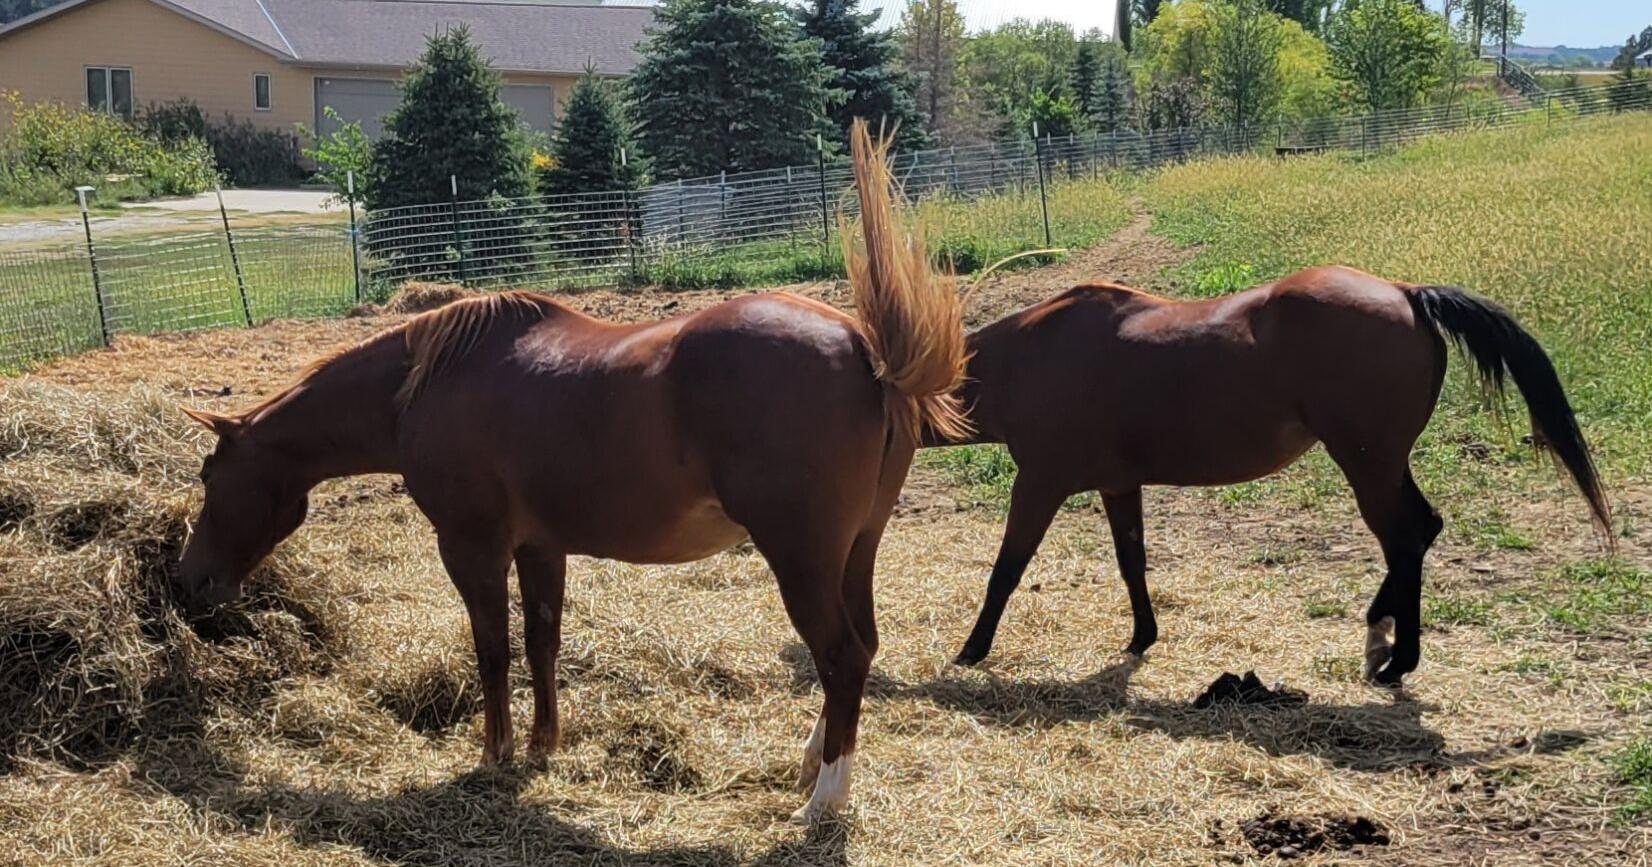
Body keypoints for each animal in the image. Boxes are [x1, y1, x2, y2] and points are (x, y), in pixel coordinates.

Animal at [174, 122, 969, 822]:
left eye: (210, 477)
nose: (189, 582)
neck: (427, 385)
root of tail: (867, 350)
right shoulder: (540, 546)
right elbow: (542, 640)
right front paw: (542, 744)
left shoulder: (472, 547)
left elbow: (492, 649)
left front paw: (494, 753)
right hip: (855, 550)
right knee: (860, 649)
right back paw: (812, 764)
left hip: (801, 557)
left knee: (839, 656)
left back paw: (824, 799)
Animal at [931, 266, 1610, 686]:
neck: (1031, 355)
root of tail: (1404, 291)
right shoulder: (1118, 485)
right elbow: (1133, 564)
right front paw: (1142, 637)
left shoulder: (1039, 482)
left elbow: (1006, 570)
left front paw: (971, 649)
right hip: (1385, 464)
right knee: (1424, 528)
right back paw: (1381, 636)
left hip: (1366, 464)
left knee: (1404, 540)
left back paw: (1397, 661)